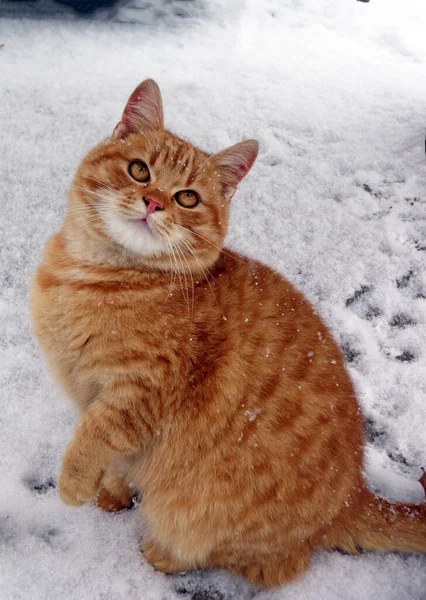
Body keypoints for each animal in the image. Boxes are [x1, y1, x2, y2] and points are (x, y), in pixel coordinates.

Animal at [30, 78, 426, 584]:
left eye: (188, 198)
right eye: (139, 170)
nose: (154, 201)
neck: (95, 276)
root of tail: (352, 497)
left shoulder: (139, 395)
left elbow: (95, 436)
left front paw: (75, 482)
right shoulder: (94, 396)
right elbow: (115, 458)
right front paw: (110, 493)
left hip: (211, 514)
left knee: (268, 563)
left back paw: (165, 554)